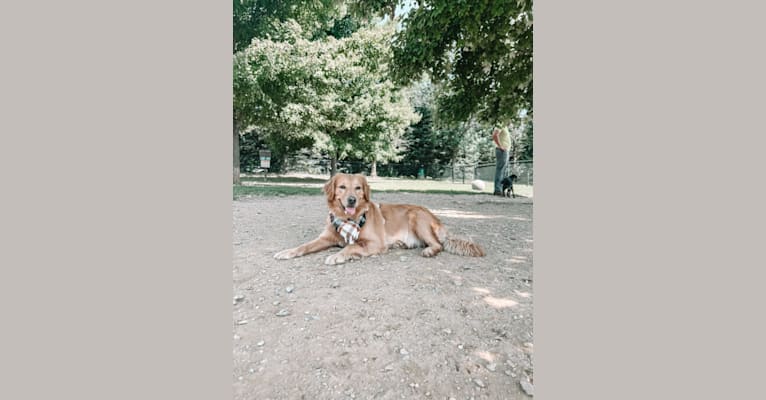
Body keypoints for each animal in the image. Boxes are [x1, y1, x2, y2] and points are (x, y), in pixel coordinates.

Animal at [272, 173, 484, 264]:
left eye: (358, 188)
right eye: (342, 187)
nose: (351, 199)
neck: (348, 220)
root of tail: (436, 219)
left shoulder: (375, 242)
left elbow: (351, 246)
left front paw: (338, 256)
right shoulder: (325, 238)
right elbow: (304, 246)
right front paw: (287, 252)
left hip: (416, 216)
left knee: (438, 245)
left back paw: (429, 251)